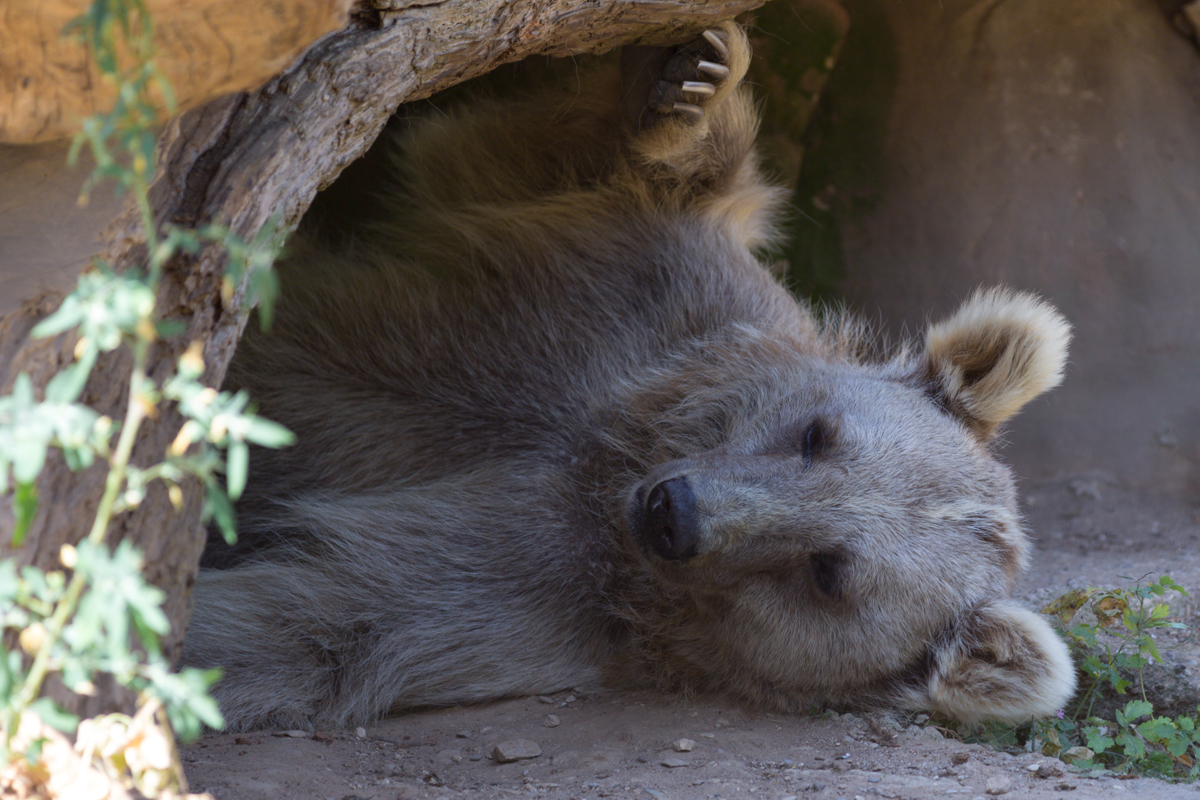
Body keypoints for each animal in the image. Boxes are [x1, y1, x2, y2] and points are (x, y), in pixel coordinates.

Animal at [184, 21, 1080, 734]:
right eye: (816, 434)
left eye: (828, 571)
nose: (675, 513)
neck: (613, 463)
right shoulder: (628, 299)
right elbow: (549, 157)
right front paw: (687, 82)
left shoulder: (524, 600)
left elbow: (320, 620)